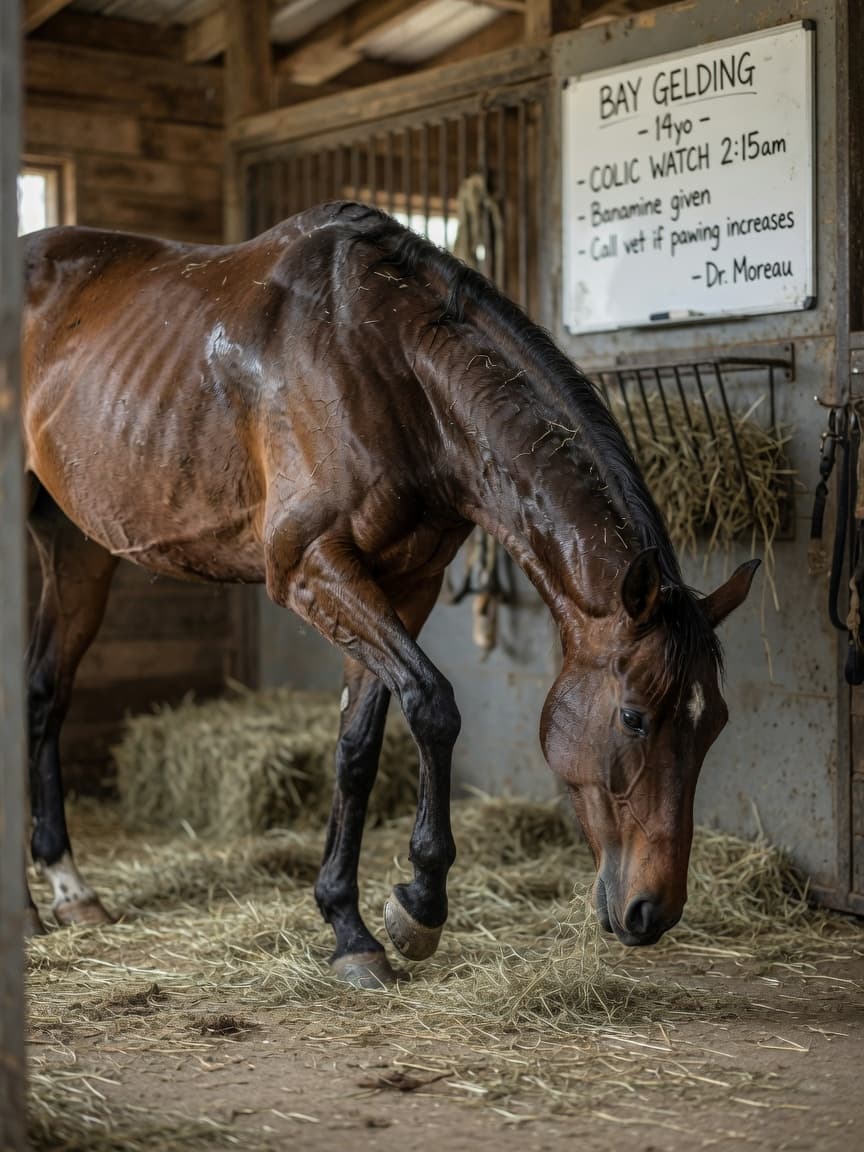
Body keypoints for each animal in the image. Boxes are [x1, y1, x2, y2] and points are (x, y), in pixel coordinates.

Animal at [20, 201, 757, 987]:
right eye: (634, 718)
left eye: (714, 723)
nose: (654, 913)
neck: (390, 369)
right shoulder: (313, 568)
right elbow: (433, 705)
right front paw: (420, 905)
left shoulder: (404, 585)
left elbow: (358, 747)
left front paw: (349, 927)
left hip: (77, 546)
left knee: (45, 690)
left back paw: (69, 890)